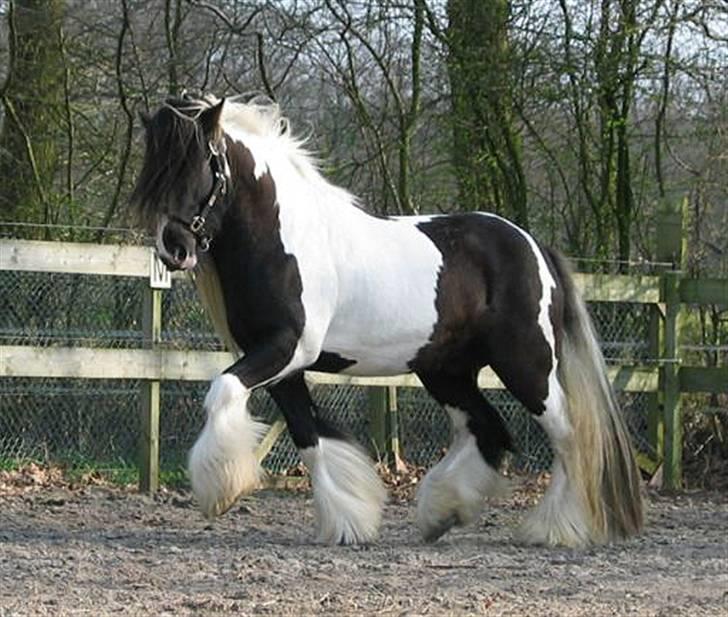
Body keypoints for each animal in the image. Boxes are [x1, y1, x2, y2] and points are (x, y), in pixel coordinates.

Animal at [132, 94, 644, 548]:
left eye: (201, 163)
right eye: (155, 167)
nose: (173, 248)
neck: (286, 237)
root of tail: (534, 246)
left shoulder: (287, 348)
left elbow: (223, 391)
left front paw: (221, 489)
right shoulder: (279, 363)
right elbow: (308, 435)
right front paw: (347, 522)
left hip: (527, 366)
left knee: (568, 436)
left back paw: (555, 529)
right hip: (446, 370)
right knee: (487, 428)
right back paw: (443, 512)